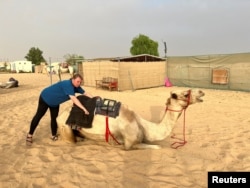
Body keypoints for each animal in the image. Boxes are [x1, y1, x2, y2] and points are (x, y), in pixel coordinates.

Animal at [57, 88, 205, 150]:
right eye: (185, 94)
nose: (201, 92)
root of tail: (61, 114)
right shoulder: (130, 144)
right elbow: (157, 147)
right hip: (65, 127)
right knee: (71, 141)